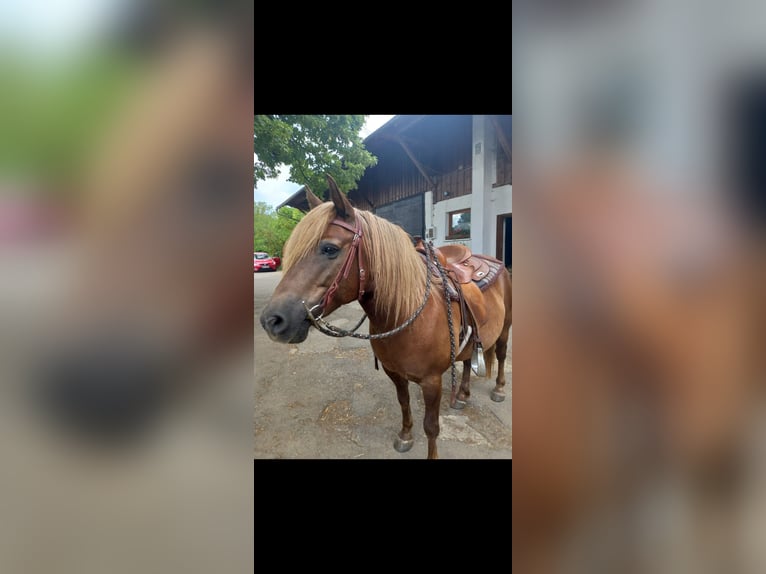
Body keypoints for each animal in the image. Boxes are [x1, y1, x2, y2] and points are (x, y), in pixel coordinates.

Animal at [260, 178, 512, 462]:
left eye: (329, 249)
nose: (272, 320)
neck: (405, 314)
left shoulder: (432, 381)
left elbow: (432, 426)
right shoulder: (394, 373)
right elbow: (404, 404)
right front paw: (405, 436)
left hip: (505, 329)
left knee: (501, 355)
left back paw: (499, 390)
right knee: (468, 360)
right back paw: (462, 395)